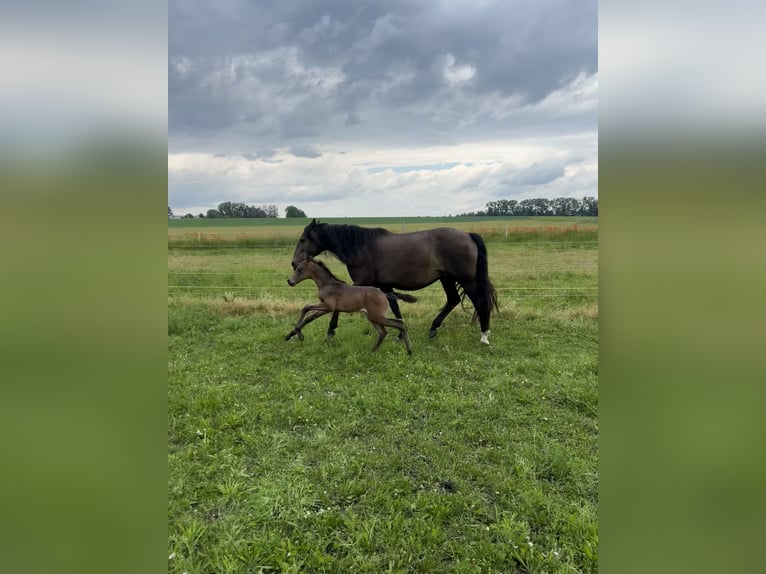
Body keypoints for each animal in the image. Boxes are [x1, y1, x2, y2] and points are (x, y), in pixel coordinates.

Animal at [284, 258, 414, 356]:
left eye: (300, 269)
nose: (290, 281)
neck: (328, 284)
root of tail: (385, 294)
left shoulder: (328, 306)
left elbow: (307, 310)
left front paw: (299, 334)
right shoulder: (327, 307)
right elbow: (307, 313)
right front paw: (290, 335)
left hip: (377, 316)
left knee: (400, 323)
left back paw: (409, 351)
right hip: (372, 316)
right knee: (383, 332)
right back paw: (372, 351)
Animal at [292, 220, 500, 346]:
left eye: (302, 239)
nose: (294, 263)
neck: (361, 246)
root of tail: (468, 235)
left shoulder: (361, 283)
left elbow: (338, 306)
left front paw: (330, 331)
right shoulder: (384, 285)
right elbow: (395, 306)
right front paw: (401, 334)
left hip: (466, 279)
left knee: (480, 302)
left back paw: (484, 335)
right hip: (446, 277)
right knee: (453, 300)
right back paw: (433, 328)